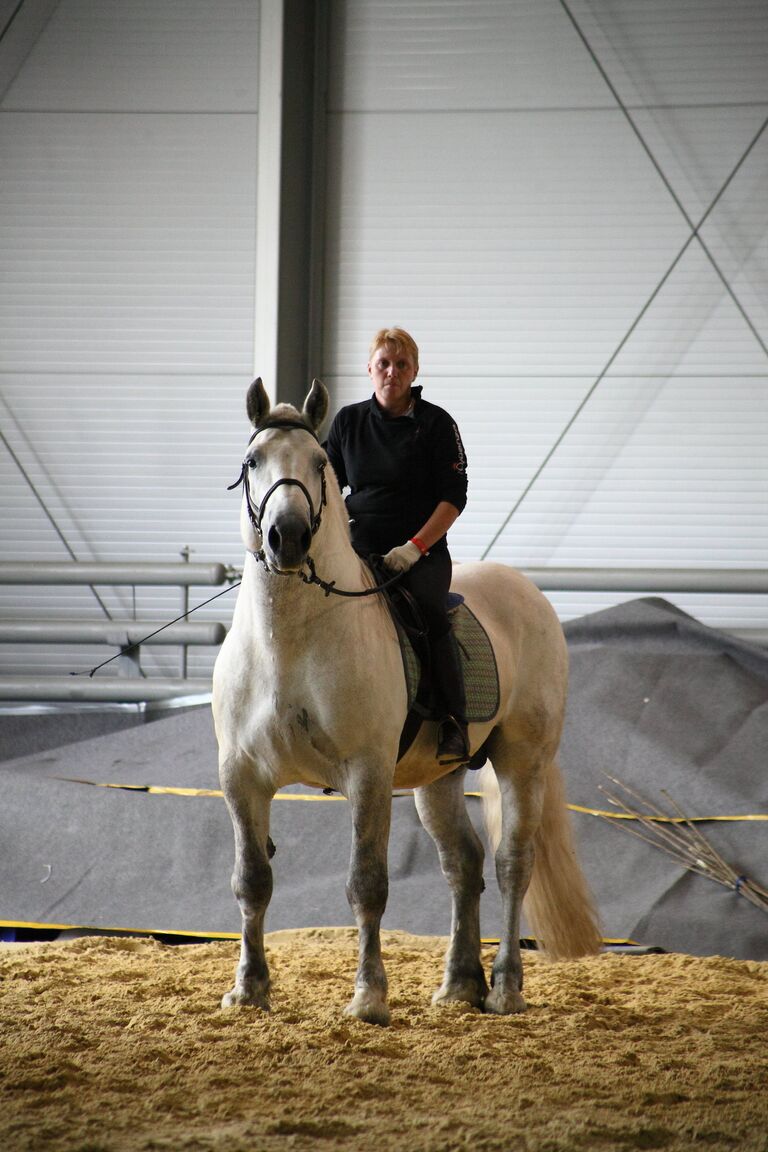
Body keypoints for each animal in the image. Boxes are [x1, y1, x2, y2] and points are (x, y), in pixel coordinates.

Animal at [213, 377, 603, 1027]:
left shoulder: (367, 773)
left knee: (511, 865)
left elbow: (367, 884)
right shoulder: (241, 777)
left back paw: (504, 988)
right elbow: (251, 881)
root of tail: (528, 591)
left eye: (318, 464)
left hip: (523, 762)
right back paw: (458, 985)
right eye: (252, 462)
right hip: (436, 779)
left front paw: (369, 997)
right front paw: (248, 990)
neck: (289, 642)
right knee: (463, 864)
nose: (287, 538)